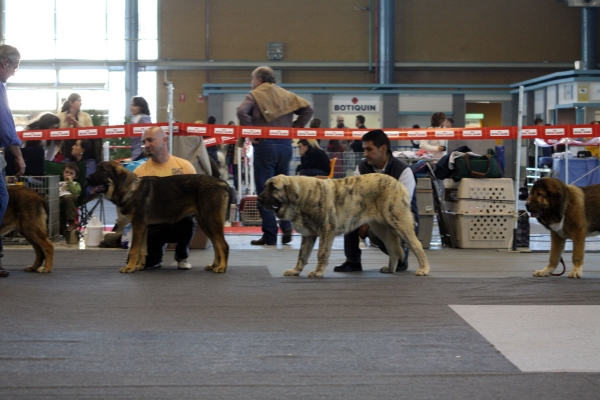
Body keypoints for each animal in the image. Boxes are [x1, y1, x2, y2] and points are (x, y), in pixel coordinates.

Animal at [86, 161, 230, 274]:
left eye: (102, 171)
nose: (87, 178)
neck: (131, 190)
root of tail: (220, 182)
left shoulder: (138, 225)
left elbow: (133, 250)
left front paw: (129, 267)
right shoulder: (143, 227)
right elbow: (142, 249)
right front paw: (139, 266)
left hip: (211, 220)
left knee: (223, 245)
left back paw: (222, 267)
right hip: (205, 222)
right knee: (216, 244)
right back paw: (214, 265)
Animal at [258, 175, 432, 278]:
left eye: (273, 187)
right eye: (266, 186)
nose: (258, 198)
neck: (303, 196)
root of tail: (398, 183)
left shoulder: (326, 229)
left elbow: (322, 253)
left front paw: (318, 272)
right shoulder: (308, 235)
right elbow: (302, 255)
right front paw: (296, 271)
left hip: (398, 222)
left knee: (415, 245)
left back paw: (424, 269)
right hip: (381, 228)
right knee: (393, 249)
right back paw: (390, 269)